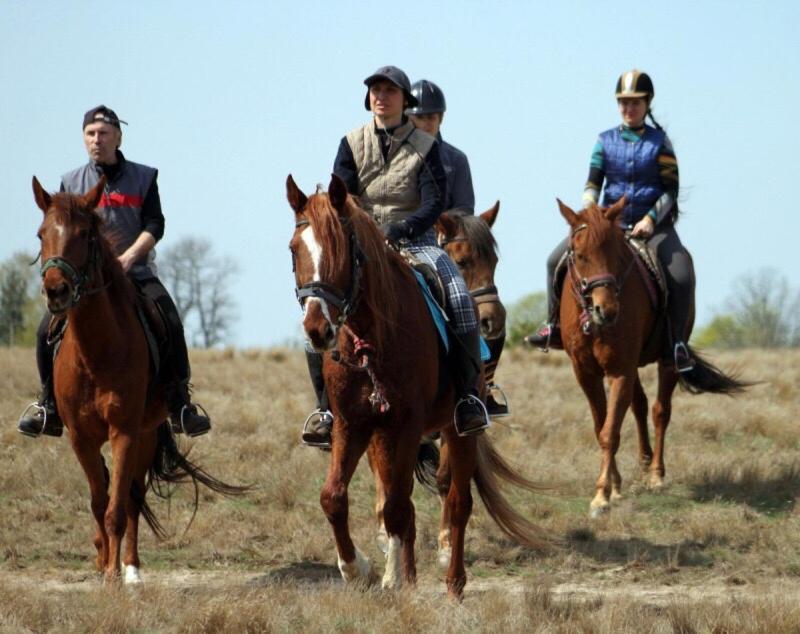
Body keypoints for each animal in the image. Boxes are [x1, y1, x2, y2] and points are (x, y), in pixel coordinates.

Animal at [31, 175, 244, 580]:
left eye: (86, 234)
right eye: (41, 234)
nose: (56, 291)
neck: (95, 353)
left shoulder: (125, 432)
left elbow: (116, 508)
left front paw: (115, 574)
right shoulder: (80, 438)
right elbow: (99, 501)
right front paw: (102, 565)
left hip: (147, 433)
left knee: (133, 498)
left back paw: (131, 567)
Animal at [552, 200, 748, 516]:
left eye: (618, 256)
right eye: (580, 256)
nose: (606, 310)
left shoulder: (620, 370)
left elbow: (609, 432)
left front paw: (601, 495)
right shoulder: (586, 373)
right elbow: (602, 426)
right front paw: (615, 487)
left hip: (668, 361)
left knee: (660, 411)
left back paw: (656, 474)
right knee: (640, 406)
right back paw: (644, 464)